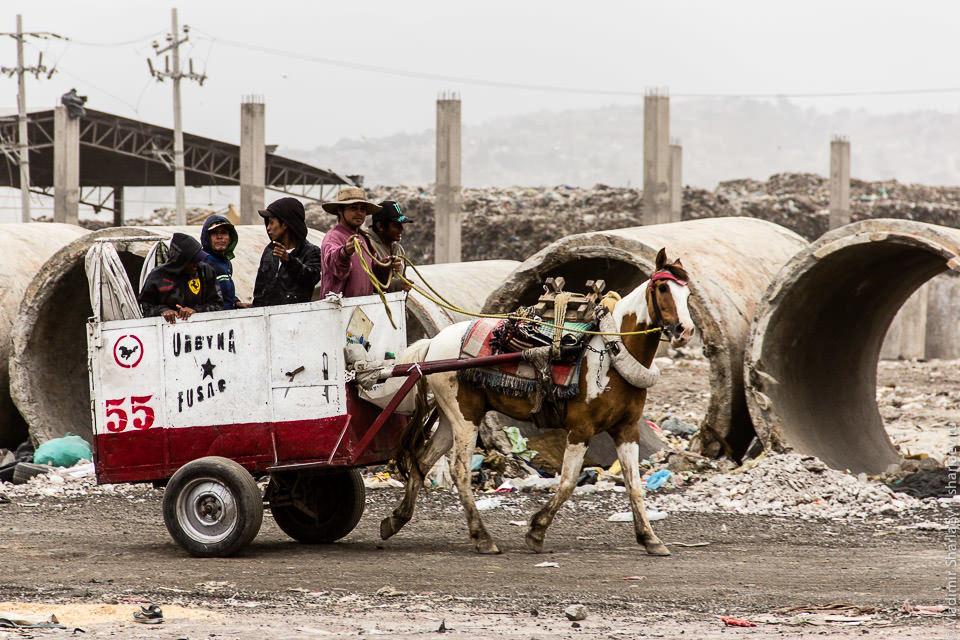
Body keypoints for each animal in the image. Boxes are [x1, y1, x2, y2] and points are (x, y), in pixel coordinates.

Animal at [378, 249, 692, 556]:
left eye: (688, 294)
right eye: (663, 288)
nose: (685, 330)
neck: (611, 355)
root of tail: (433, 343)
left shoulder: (627, 429)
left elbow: (635, 485)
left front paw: (649, 538)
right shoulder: (581, 429)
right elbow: (567, 482)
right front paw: (536, 531)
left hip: (452, 416)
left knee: (422, 460)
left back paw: (396, 519)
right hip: (465, 417)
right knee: (460, 471)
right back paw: (482, 537)